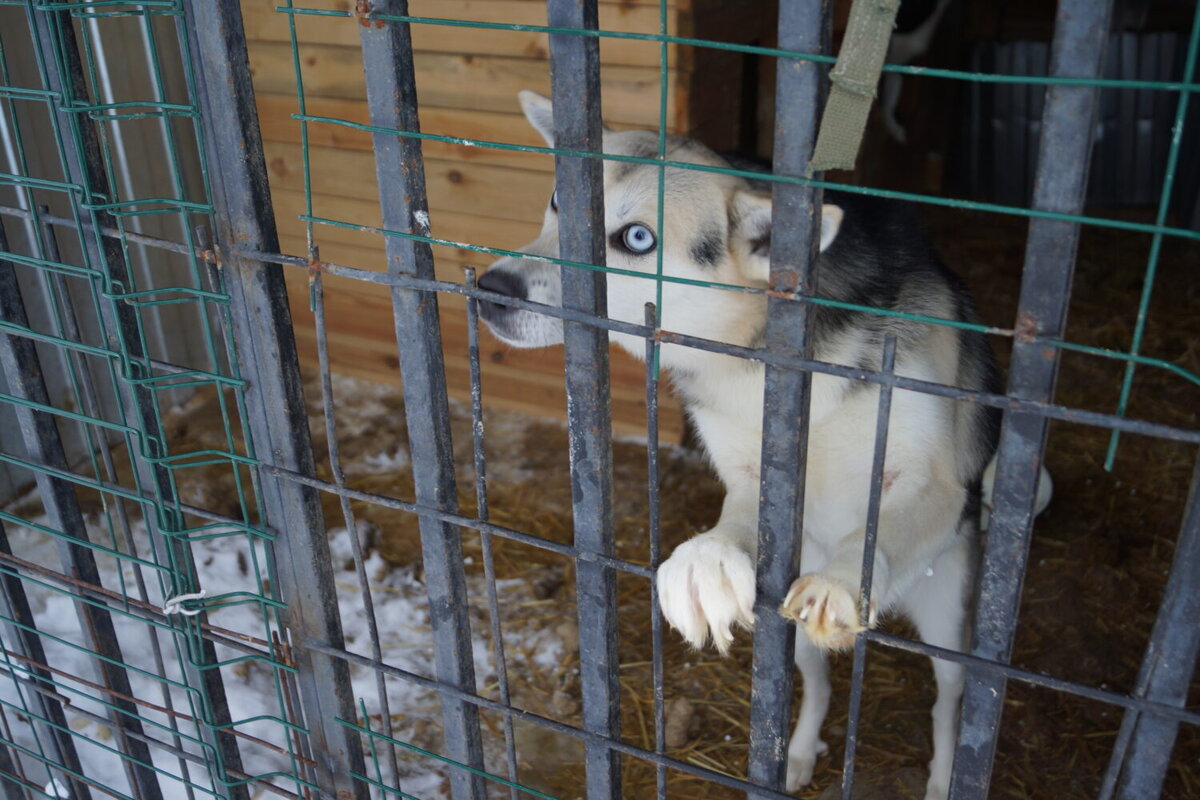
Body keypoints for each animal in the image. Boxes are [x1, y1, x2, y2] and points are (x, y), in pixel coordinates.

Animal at [477, 90, 1003, 796]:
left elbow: (882, 534)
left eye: (636, 238)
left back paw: (946, 773)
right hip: (795, 631)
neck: (756, 356)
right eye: (561, 201)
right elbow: (733, 521)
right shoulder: (758, 479)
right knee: (816, 684)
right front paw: (705, 562)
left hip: (947, 616)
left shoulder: (936, 486)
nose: (492, 291)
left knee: (949, 701)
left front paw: (841, 580)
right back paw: (799, 752)